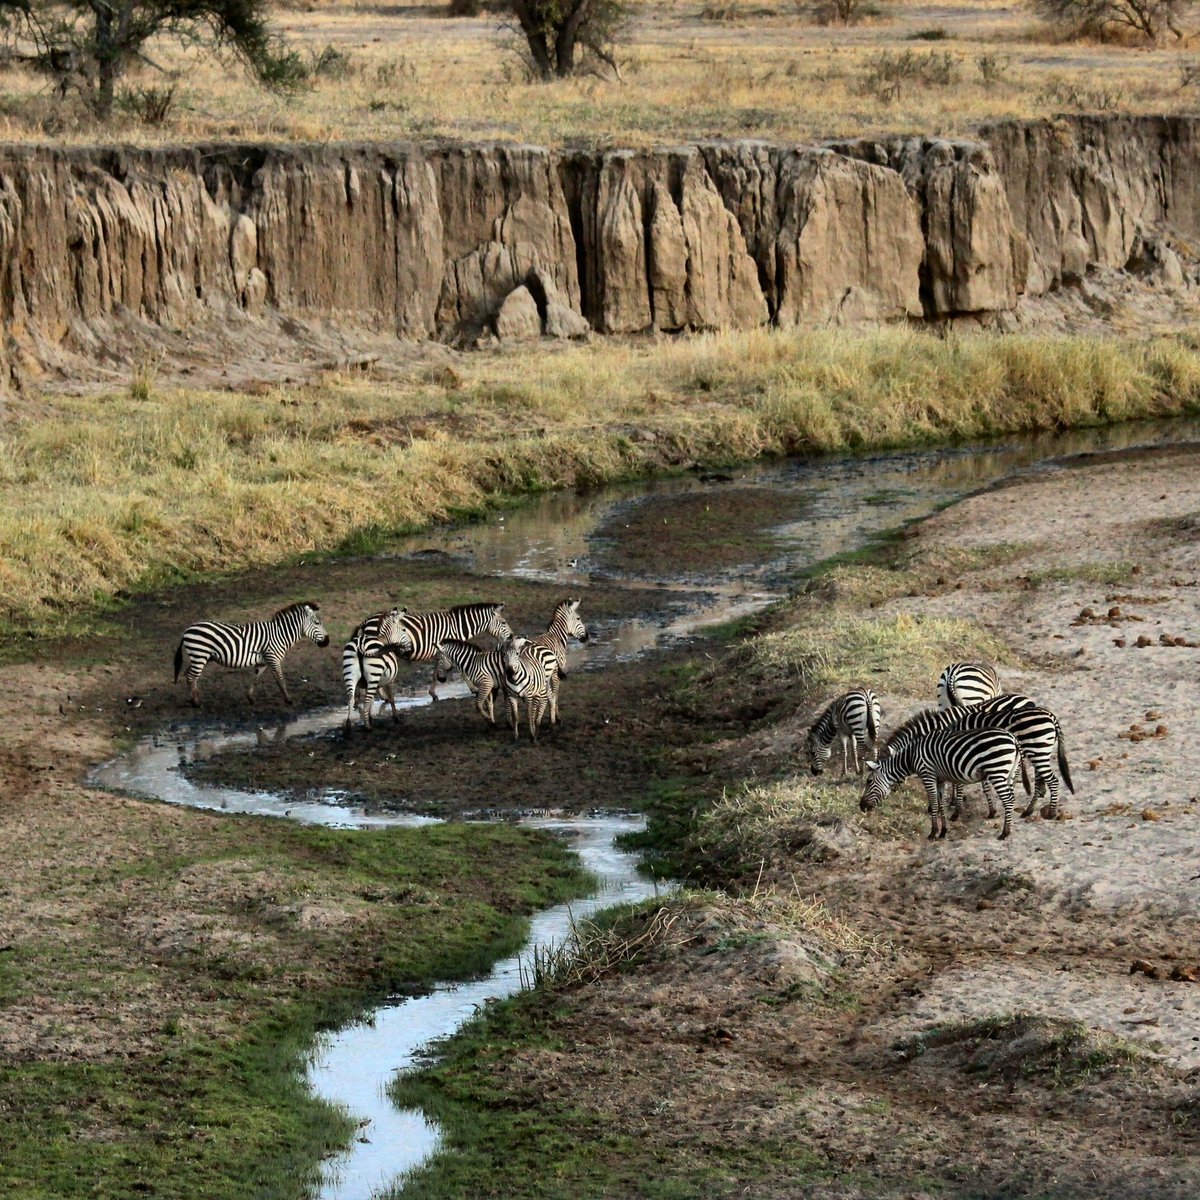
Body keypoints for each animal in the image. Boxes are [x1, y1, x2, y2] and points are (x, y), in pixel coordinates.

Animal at [172, 600, 328, 700]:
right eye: (317, 623)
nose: (327, 641)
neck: (280, 634)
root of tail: (187, 630)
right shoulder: (273, 658)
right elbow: (280, 679)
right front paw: (288, 700)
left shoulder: (263, 661)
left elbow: (257, 678)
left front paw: (250, 697)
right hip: (200, 655)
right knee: (192, 676)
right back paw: (196, 702)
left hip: (200, 656)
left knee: (188, 674)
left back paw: (193, 697)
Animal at [864, 724, 1022, 840]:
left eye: (869, 781)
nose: (861, 807)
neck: (911, 756)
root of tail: (1013, 738)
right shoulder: (940, 780)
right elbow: (941, 805)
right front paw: (943, 831)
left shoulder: (928, 775)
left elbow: (934, 805)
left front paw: (933, 833)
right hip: (1009, 774)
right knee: (1012, 798)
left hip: (996, 770)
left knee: (1008, 800)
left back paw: (1005, 833)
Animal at [883, 700, 1070, 820]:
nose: (890, 796)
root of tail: (1051, 716)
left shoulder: (957, 755)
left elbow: (958, 783)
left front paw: (955, 808)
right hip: (1040, 751)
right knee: (1040, 779)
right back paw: (1030, 809)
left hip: (1037, 750)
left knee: (1051, 780)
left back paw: (1050, 813)